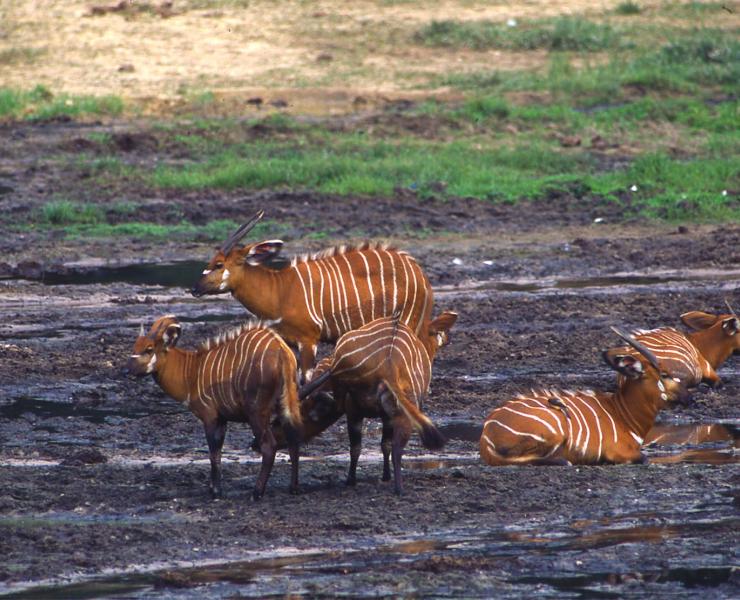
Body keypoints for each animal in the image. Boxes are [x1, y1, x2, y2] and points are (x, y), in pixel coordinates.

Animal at [126, 316, 300, 500]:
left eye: (149, 349)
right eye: (135, 346)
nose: (126, 371)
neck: (191, 372)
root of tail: (282, 351)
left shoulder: (210, 417)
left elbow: (213, 453)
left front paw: (215, 491)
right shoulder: (222, 419)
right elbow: (218, 451)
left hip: (257, 412)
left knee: (269, 445)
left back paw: (256, 493)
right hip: (285, 405)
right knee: (294, 440)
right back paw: (293, 488)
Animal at [191, 213, 434, 378]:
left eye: (218, 264)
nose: (194, 289)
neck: (279, 289)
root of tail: (420, 273)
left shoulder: (308, 339)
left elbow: (305, 379)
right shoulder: (289, 340)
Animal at [300, 312, 456, 494]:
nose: (448, 338)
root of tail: (389, 365)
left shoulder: (368, 413)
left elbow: (380, 445)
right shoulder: (366, 412)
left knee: (382, 445)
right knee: (391, 446)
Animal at [482, 330, 692, 466]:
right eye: (664, 374)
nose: (688, 397)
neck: (622, 414)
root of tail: (486, 434)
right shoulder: (619, 452)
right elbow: (643, 458)